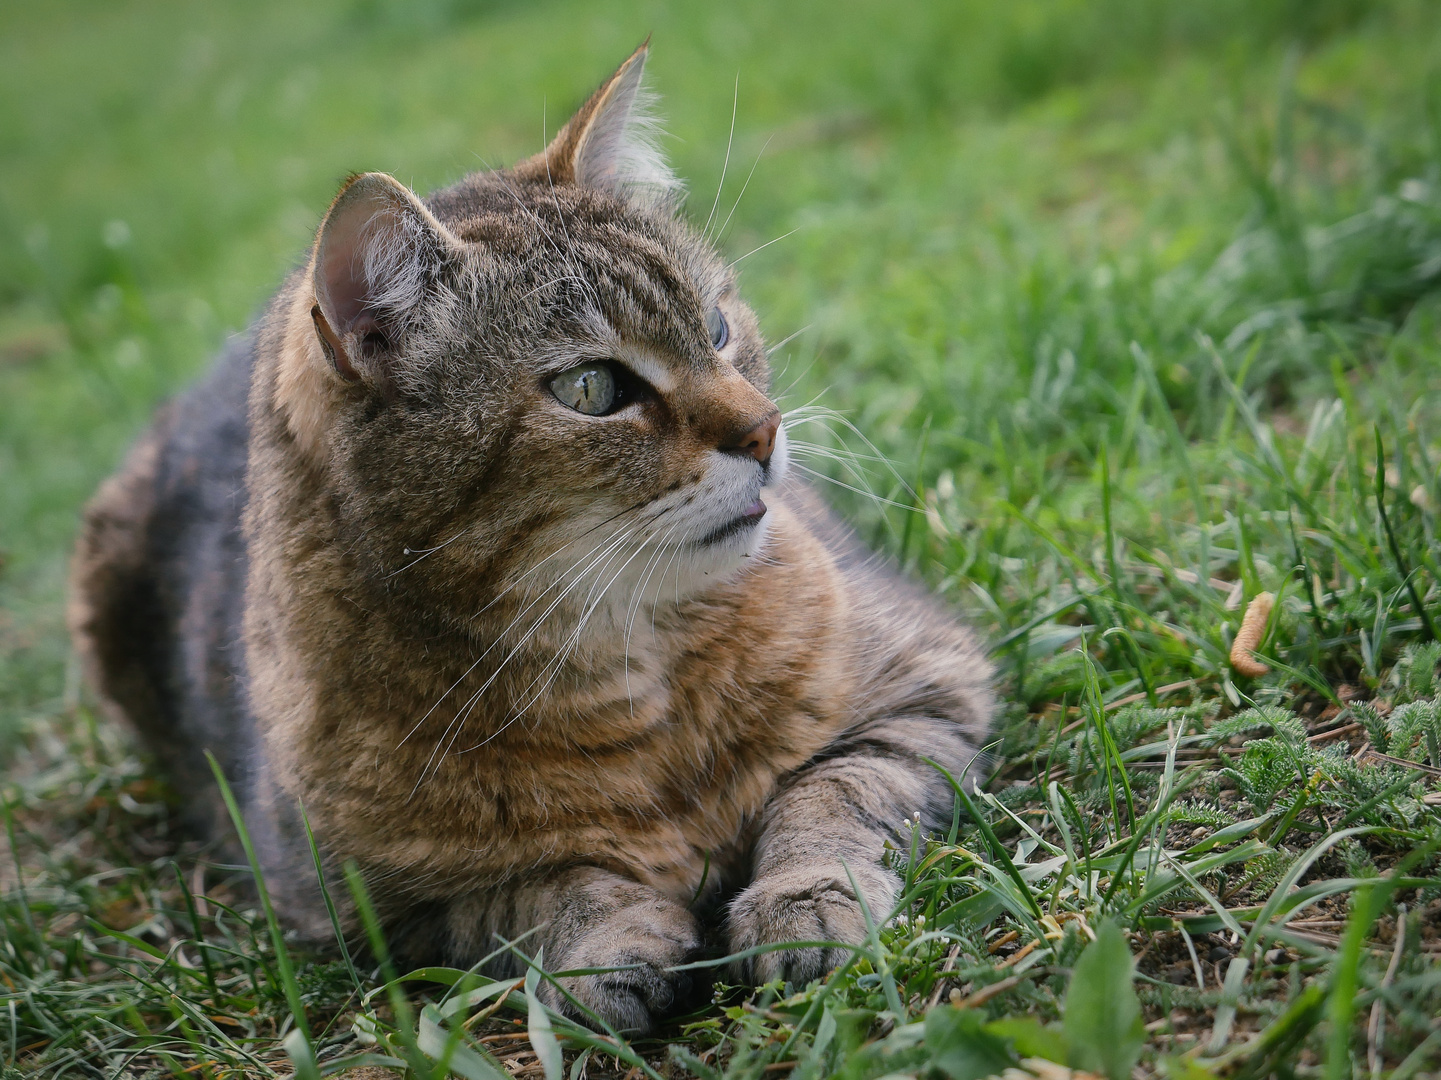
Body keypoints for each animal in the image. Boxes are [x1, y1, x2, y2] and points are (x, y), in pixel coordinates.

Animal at [67, 42, 991, 1032]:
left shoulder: (928, 686)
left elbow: (830, 796)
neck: (641, 679)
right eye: (592, 388)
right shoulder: (359, 904)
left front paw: (806, 897)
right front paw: (609, 938)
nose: (764, 430)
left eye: (715, 328)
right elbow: (531, 893)